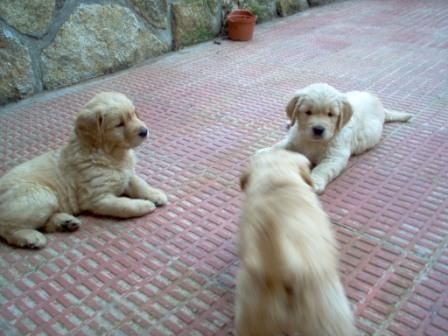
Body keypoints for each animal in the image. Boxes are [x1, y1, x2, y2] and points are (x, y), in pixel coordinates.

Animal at [0, 92, 167, 249]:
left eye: (134, 114)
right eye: (119, 124)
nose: (145, 131)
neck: (110, 155)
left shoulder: (127, 175)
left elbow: (140, 183)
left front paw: (155, 194)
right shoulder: (97, 198)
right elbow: (123, 205)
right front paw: (144, 205)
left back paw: (65, 222)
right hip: (40, 195)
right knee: (6, 226)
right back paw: (30, 237)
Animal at [260, 82, 412, 193]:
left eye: (330, 114)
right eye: (308, 112)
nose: (318, 129)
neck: (314, 142)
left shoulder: (334, 156)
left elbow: (322, 169)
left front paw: (315, 181)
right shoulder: (294, 139)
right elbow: (280, 145)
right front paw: (265, 151)